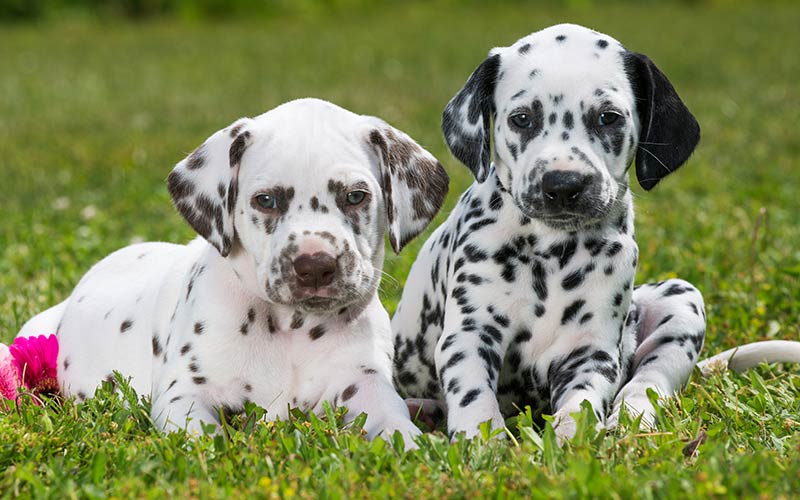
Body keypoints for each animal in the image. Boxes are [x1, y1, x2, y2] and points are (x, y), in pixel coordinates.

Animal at [17, 96, 450, 446]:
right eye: (266, 200)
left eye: (356, 196)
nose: (315, 266)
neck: (290, 329)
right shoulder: (184, 395)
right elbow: (201, 438)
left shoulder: (364, 382)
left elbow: (391, 418)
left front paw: (414, 442)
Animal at [392, 23, 800, 440]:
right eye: (521, 118)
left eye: (608, 117)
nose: (563, 184)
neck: (553, 253)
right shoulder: (470, 335)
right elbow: (474, 398)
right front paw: (482, 442)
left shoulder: (591, 353)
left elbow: (583, 403)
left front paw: (573, 438)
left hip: (680, 300)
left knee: (647, 382)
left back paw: (631, 423)